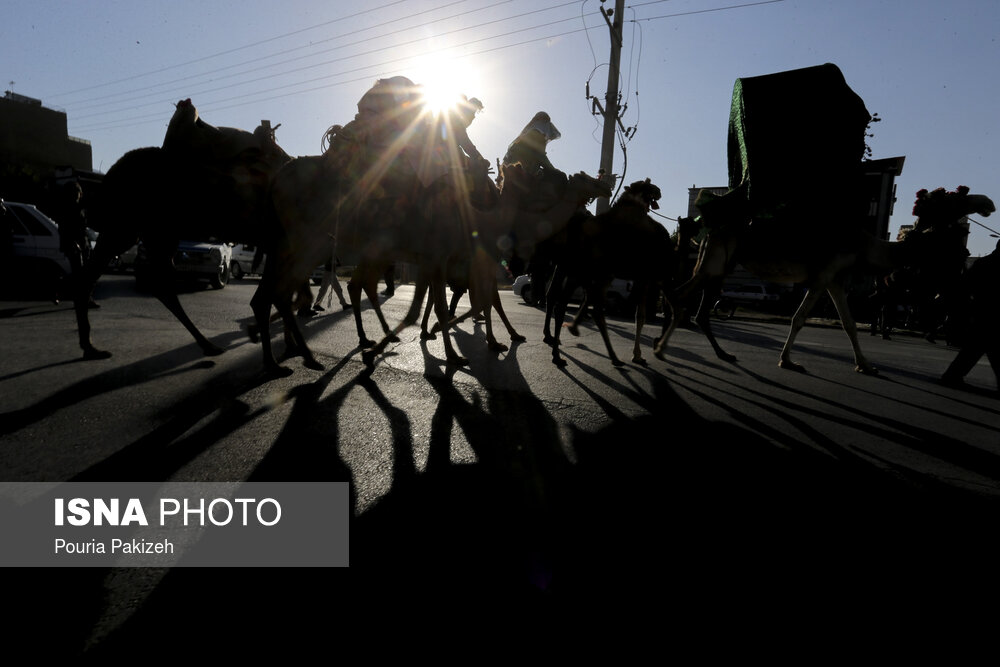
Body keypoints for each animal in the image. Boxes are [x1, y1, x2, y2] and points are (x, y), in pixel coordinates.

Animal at [656, 185, 992, 374]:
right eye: (954, 199)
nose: (988, 203)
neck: (865, 245)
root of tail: (705, 219)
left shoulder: (835, 280)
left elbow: (849, 323)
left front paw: (865, 365)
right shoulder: (822, 275)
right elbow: (799, 317)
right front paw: (787, 361)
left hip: (719, 261)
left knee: (694, 304)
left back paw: (715, 352)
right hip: (717, 258)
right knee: (683, 297)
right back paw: (662, 349)